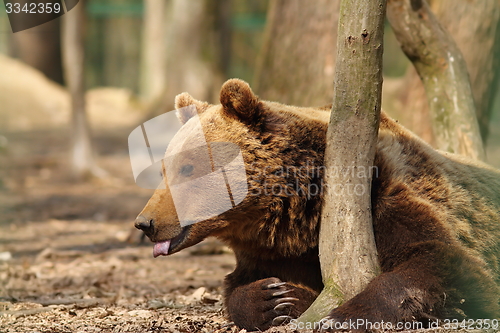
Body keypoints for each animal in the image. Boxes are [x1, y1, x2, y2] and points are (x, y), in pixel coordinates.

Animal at [133, 78, 500, 330]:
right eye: (164, 169)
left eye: (187, 168)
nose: (145, 222)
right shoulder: (272, 251)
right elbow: (240, 286)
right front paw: (274, 298)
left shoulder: (383, 201)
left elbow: (443, 259)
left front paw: (342, 315)